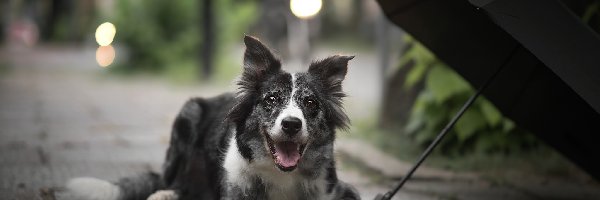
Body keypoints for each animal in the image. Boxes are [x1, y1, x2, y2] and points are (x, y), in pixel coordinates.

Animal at [65, 35, 358, 199]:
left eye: (310, 102)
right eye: (271, 100)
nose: (291, 124)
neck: (282, 175)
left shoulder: (337, 190)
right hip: (189, 114)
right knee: (172, 183)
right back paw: (163, 194)